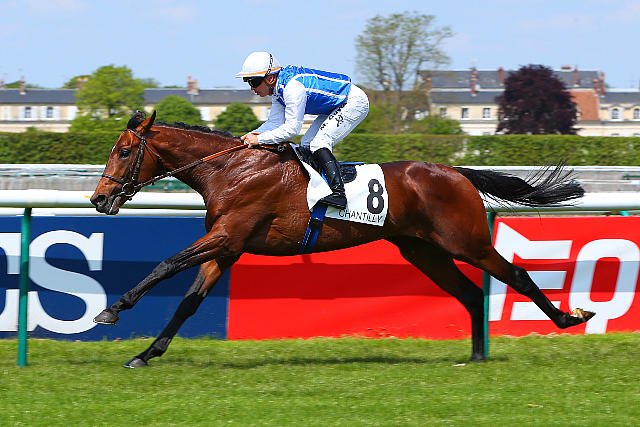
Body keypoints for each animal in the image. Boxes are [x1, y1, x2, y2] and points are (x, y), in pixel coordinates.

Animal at [91, 110, 595, 368]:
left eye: (124, 151)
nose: (99, 198)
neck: (232, 170)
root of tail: (456, 172)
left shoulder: (227, 235)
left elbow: (166, 265)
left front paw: (112, 310)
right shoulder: (227, 246)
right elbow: (187, 303)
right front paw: (145, 354)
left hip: (466, 242)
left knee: (516, 273)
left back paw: (567, 318)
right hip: (424, 251)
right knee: (470, 293)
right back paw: (473, 356)